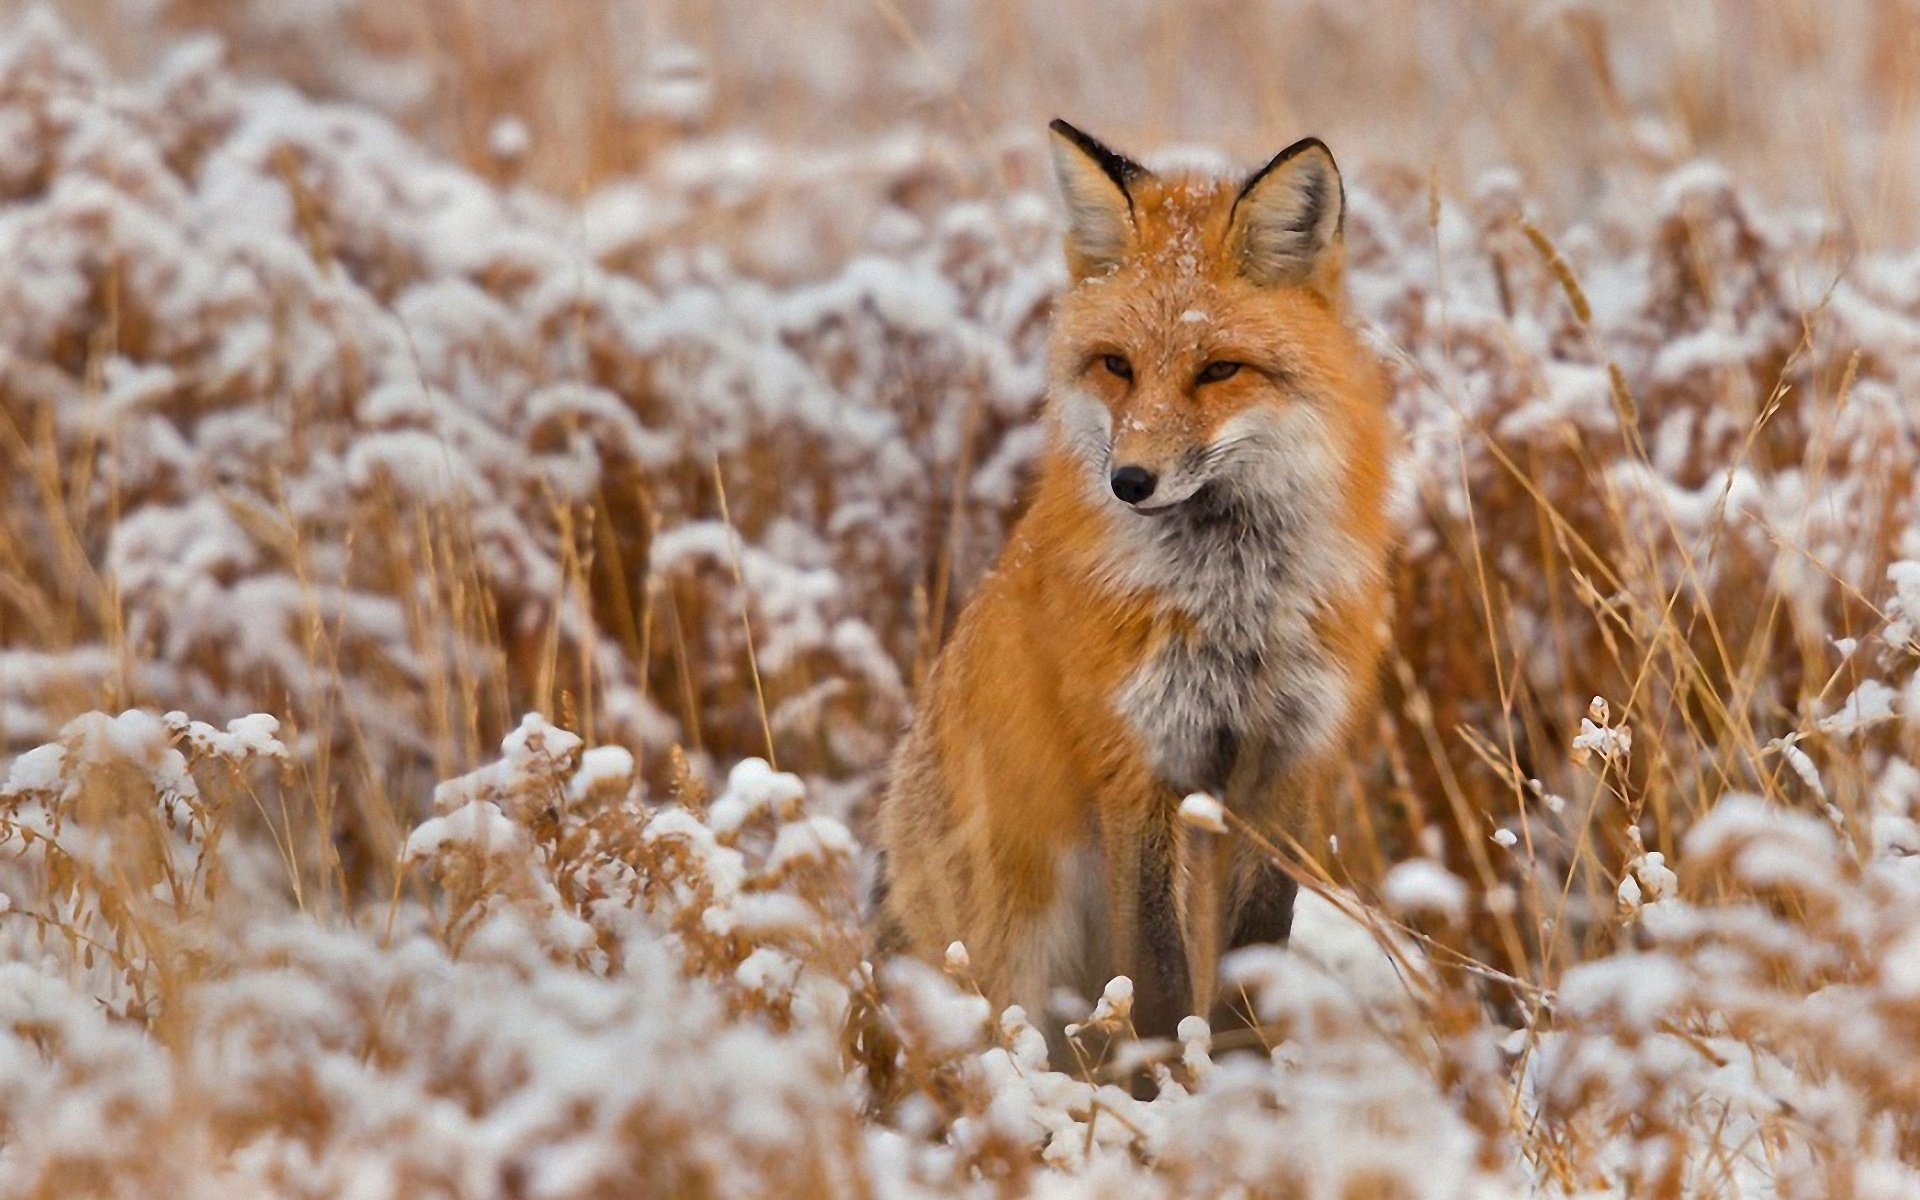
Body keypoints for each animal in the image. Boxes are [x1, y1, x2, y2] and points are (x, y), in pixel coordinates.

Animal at [875, 120, 1397, 1039]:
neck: (1234, 602)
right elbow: (1152, 976)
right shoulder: (1136, 762)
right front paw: (1163, 1070)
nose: (1130, 480)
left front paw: (1242, 1068)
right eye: (1116, 365)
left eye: (1219, 370)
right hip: (1014, 946)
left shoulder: (1286, 763)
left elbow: (1254, 955)